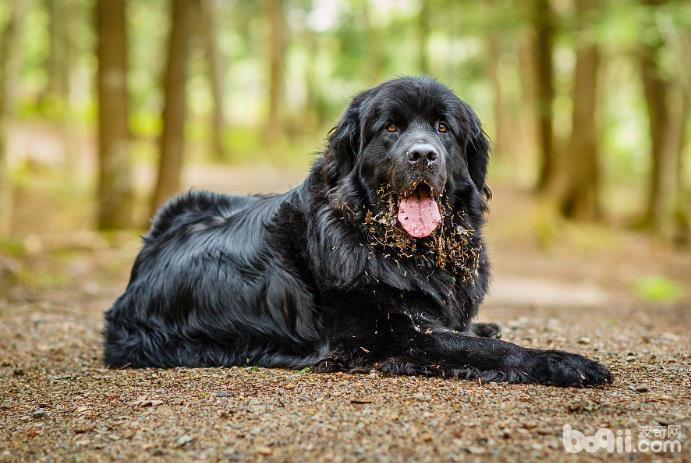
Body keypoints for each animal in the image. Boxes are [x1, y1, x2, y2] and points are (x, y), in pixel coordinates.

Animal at [102, 77, 612, 388]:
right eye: (391, 128)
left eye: (444, 127)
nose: (423, 155)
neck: (400, 250)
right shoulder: (394, 336)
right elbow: (490, 350)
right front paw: (566, 362)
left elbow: (473, 333)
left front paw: (482, 323)